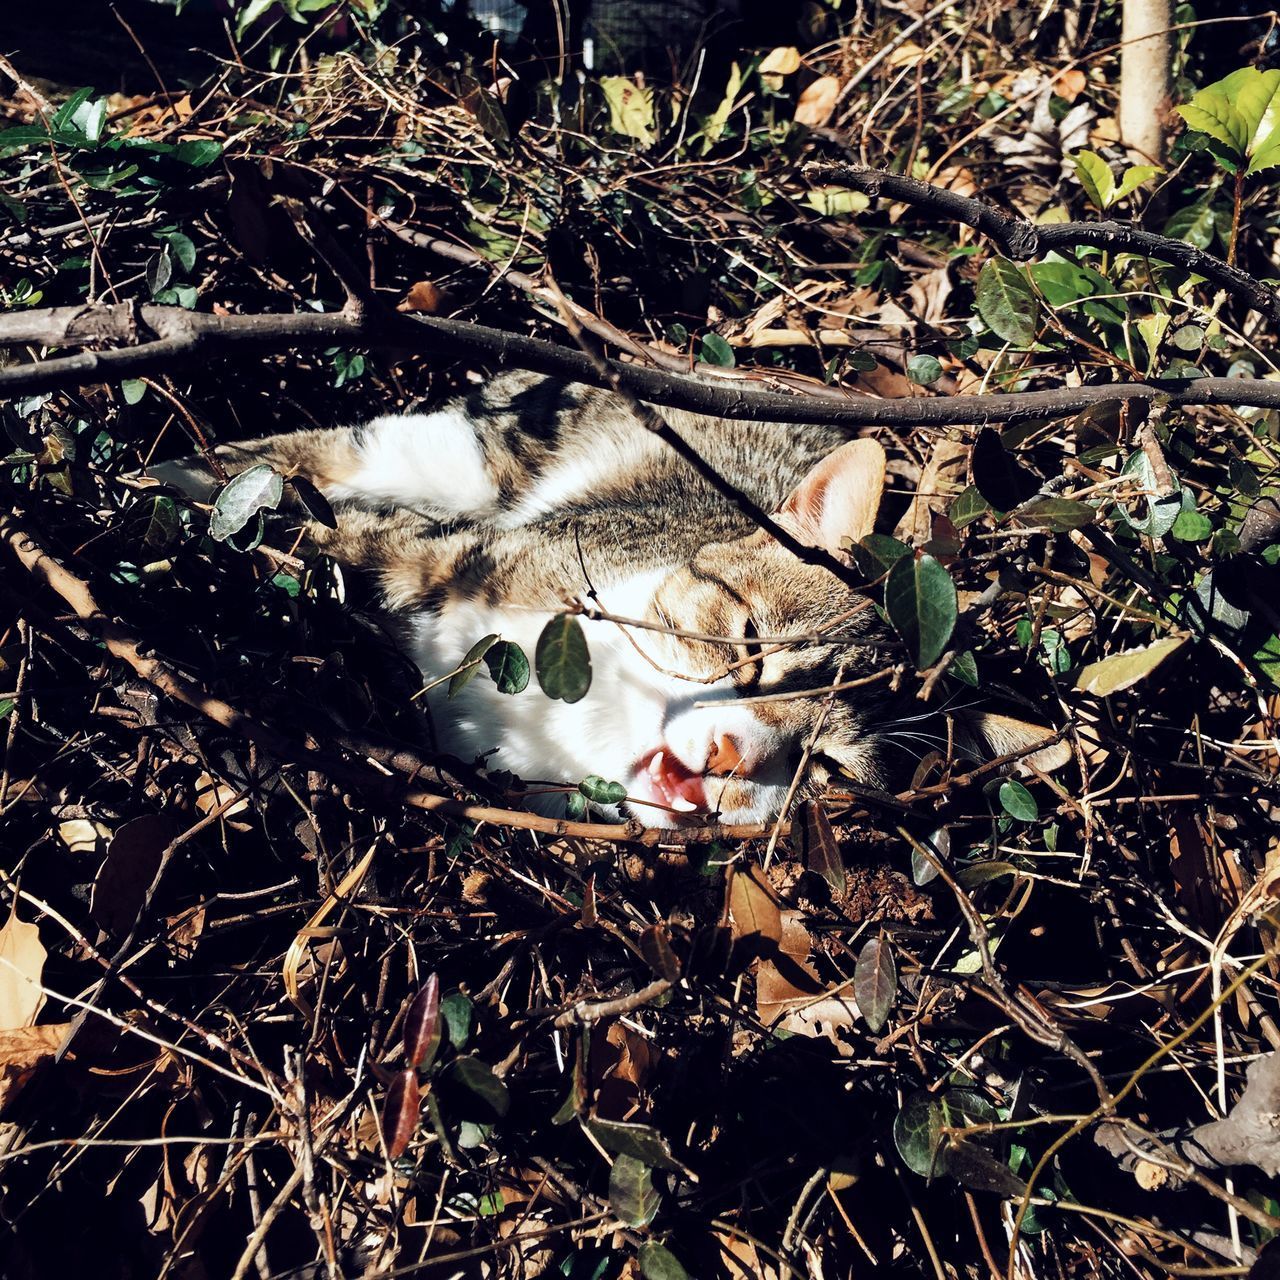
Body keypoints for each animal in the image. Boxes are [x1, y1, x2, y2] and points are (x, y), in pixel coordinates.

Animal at [152, 371, 1059, 829]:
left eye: (827, 770)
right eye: (750, 644)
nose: (732, 760)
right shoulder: (456, 562)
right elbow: (348, 537)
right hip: (462, 455)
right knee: (319, 457)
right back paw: (167, 475)